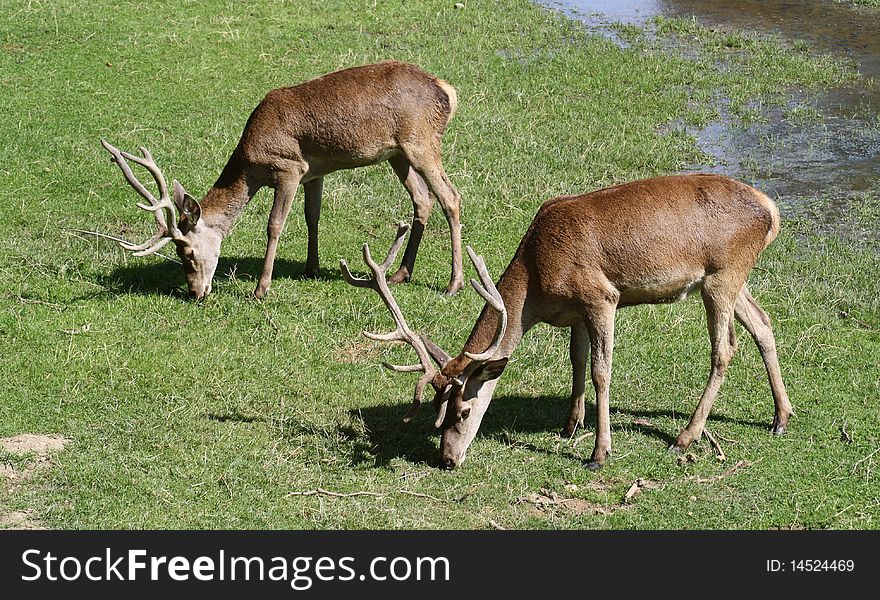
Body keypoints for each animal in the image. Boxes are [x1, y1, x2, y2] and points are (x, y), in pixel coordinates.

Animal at [99, 61, 464, 300]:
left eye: (187, 252)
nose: (195, 292)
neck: (251, 165)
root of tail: (447, 90)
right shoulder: (315, 171)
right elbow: (312, 216)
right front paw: (311, 268)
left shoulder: (290, 169)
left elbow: (275, 224)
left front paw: (260, 289)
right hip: (397, 153)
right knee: (423, 198)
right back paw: (401, 273)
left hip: (421, 142)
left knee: (451, 197)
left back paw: (453, 284)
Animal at [342, 172, 792, 468]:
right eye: (438, 407)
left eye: (463, 411)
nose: (447, 460)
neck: (538, 283)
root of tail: (770, 210)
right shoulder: (575, 312)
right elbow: (576, 362)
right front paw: (569, 426)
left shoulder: (601, 297)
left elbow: (600, 371)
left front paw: (599, 453)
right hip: (731, 279)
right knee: (763, 323)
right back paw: (780, 418)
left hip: (722, 275)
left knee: (725, 348)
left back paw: (684, 438)